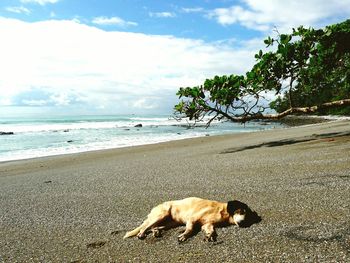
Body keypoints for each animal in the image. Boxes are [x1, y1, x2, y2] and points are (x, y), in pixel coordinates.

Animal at [123, 197, 260, 242]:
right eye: (241, 211)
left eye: (248, 217)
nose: (243, 223)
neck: (222, 211)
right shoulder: (192, 219)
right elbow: (190, 229)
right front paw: (184, 235)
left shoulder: (207, 224)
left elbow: (211, 231)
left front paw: (210, 236)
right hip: (161, 214)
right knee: (145, 226)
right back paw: (141, 234)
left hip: (170, 222)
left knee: (153, 227)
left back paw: (156, 231)